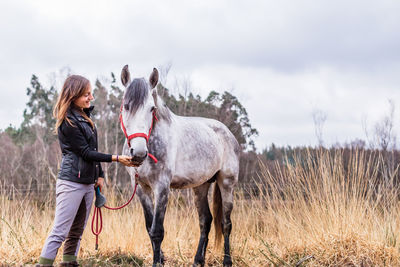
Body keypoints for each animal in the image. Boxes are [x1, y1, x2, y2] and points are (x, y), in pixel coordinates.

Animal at [118, 65, 238, 267]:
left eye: (151, 108)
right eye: (126, 105)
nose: (139, 153)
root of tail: (227, 132)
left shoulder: (162, 187)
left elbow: (157, 231)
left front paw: (158, 262)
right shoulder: (141, 188)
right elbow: (149, 227)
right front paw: (160, 258)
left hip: (226, 183)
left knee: (226, 223)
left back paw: (227, 261)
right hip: (200, 186)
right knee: (205, 221)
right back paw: (198, 261)